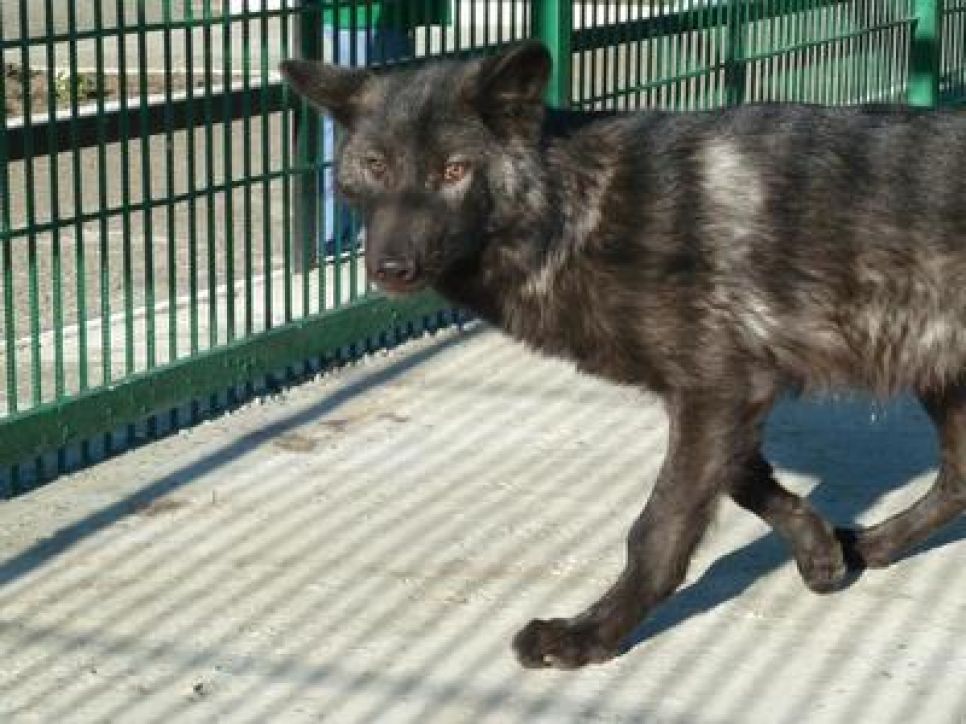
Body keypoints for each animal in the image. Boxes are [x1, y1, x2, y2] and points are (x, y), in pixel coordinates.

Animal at [281, 41, 966, 669]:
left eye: (453, 171)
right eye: (376, 165)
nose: (390, 268)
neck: (576, 211)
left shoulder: (719, 388)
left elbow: (658, 530)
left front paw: (589, 636)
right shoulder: (725, 393)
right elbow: (744, 477)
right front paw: (817, 548)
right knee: (957, 482)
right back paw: (874, 546)